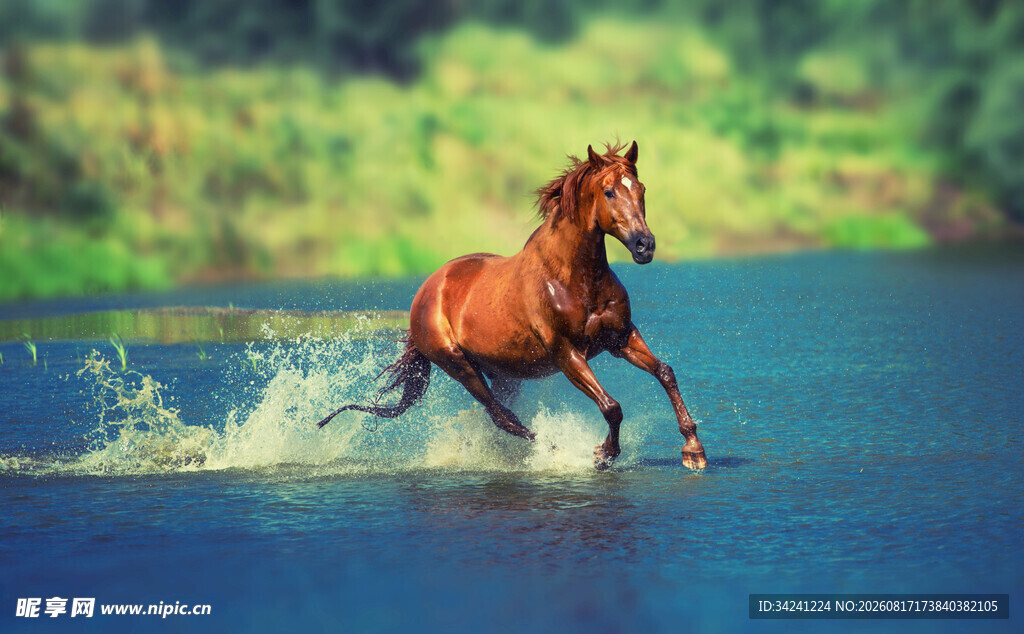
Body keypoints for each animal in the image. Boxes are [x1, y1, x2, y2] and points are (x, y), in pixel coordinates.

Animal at [317, 141, 707, 470]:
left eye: (641, 190)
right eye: (609, 191)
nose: (645, 245)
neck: (574, 278)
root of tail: (425, 293)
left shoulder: (620, 337)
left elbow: (665, 372)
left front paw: (693, 451)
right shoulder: (567, 353)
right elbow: (612, 407)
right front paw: (602, 454)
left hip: (503, 372)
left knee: (501, 416)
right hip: (458, 365)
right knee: (502, 416)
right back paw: (554, 450)